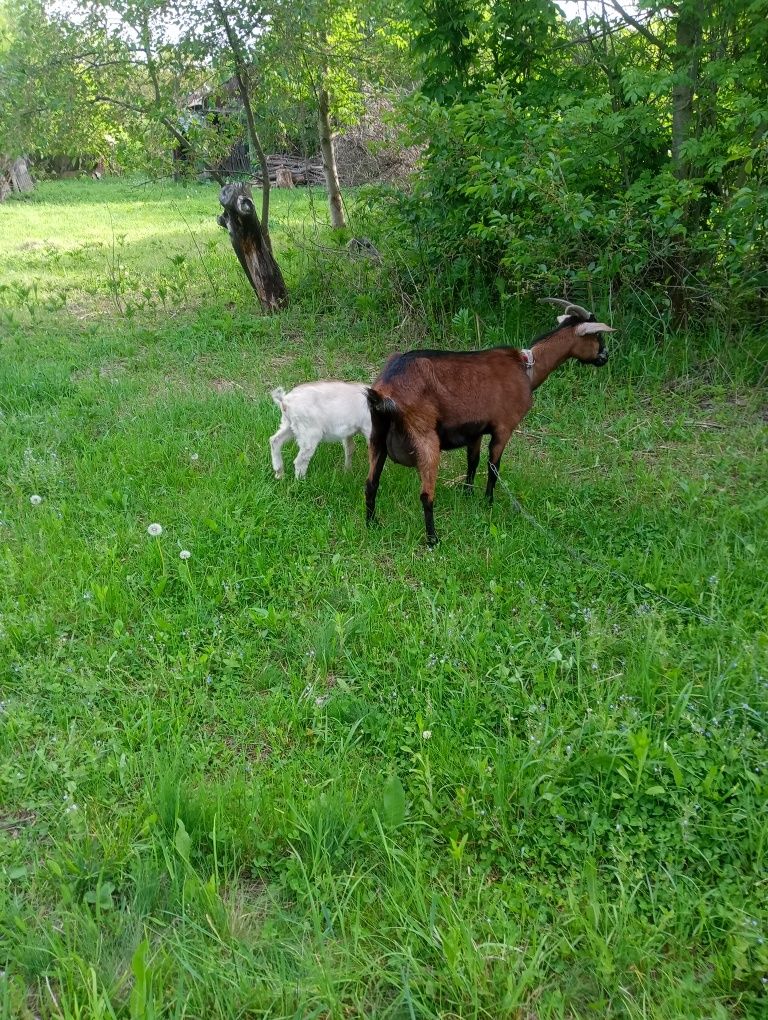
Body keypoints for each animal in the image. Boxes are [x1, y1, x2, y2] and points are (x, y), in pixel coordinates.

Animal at [363, 297, 616, 546]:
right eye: (597, 336)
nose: (604, 357)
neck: (527, 368)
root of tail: (385, 391)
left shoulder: (474, 431)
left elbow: (473, 462)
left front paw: (467, 494)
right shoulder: (504, 427)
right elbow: (493, 467)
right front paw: (488, 502)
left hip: (377, 436)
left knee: (370, 483)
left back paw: (372, 524)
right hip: (424, 436)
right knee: (426, 495)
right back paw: (433, 540)